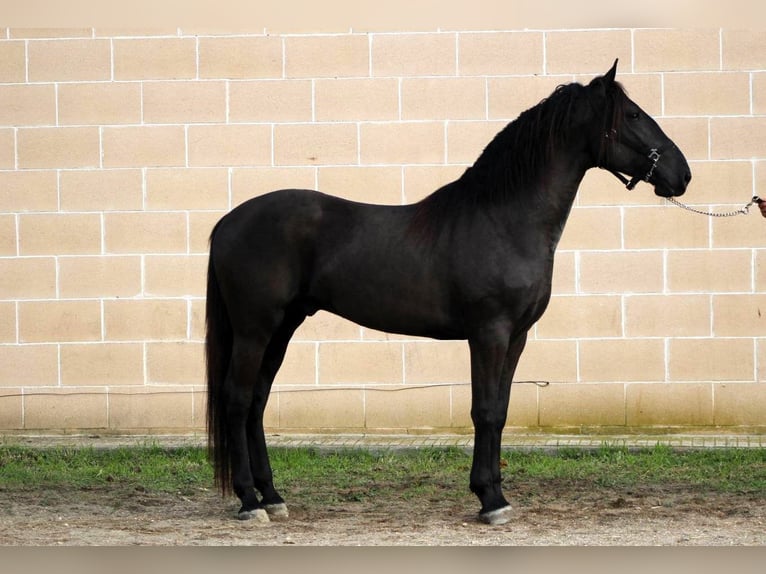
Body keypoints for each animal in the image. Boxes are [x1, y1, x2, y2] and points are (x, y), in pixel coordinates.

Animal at [207, 62, 692, 528]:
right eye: (633, 115)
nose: (682, 174)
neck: (503, 221)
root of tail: (228, 222)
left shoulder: (516, 337)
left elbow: (502, 409)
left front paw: (495, 494)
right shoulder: (489, 333)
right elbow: (485, 411)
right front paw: (490, 501)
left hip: (283, 327)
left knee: (256, 401)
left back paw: (273, 497)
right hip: (255, 329)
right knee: (237, 399)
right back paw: (249, 502)